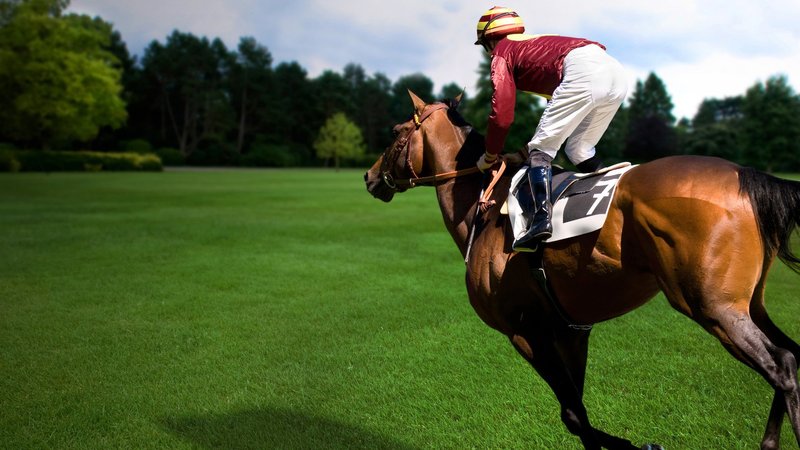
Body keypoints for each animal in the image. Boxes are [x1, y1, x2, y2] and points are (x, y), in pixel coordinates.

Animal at [363, 91, 800, 450]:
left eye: (396, 131)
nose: (369, 177)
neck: (483, 209)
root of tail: (747, 175)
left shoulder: (526, 331)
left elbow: (573, 415)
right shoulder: (571, 330)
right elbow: (578, 413)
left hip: (714, 307)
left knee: (781, 365)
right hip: (748, 304)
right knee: (793, 353)